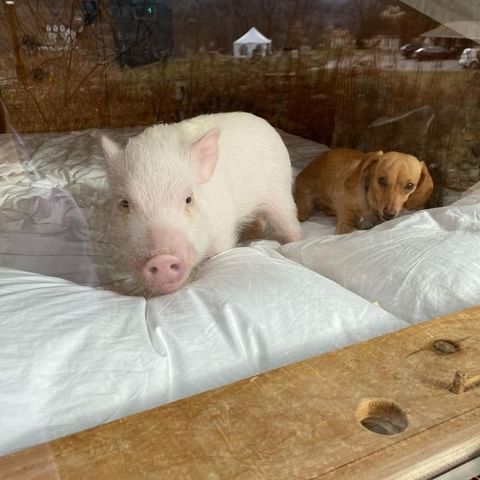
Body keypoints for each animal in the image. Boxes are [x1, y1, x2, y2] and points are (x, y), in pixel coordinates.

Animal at [103, 111, 302, 296]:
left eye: (189, 199)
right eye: (125, 203)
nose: (162, 259)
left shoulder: (222, 227)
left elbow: (221, 252)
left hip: (279, 192)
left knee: (291, 224)